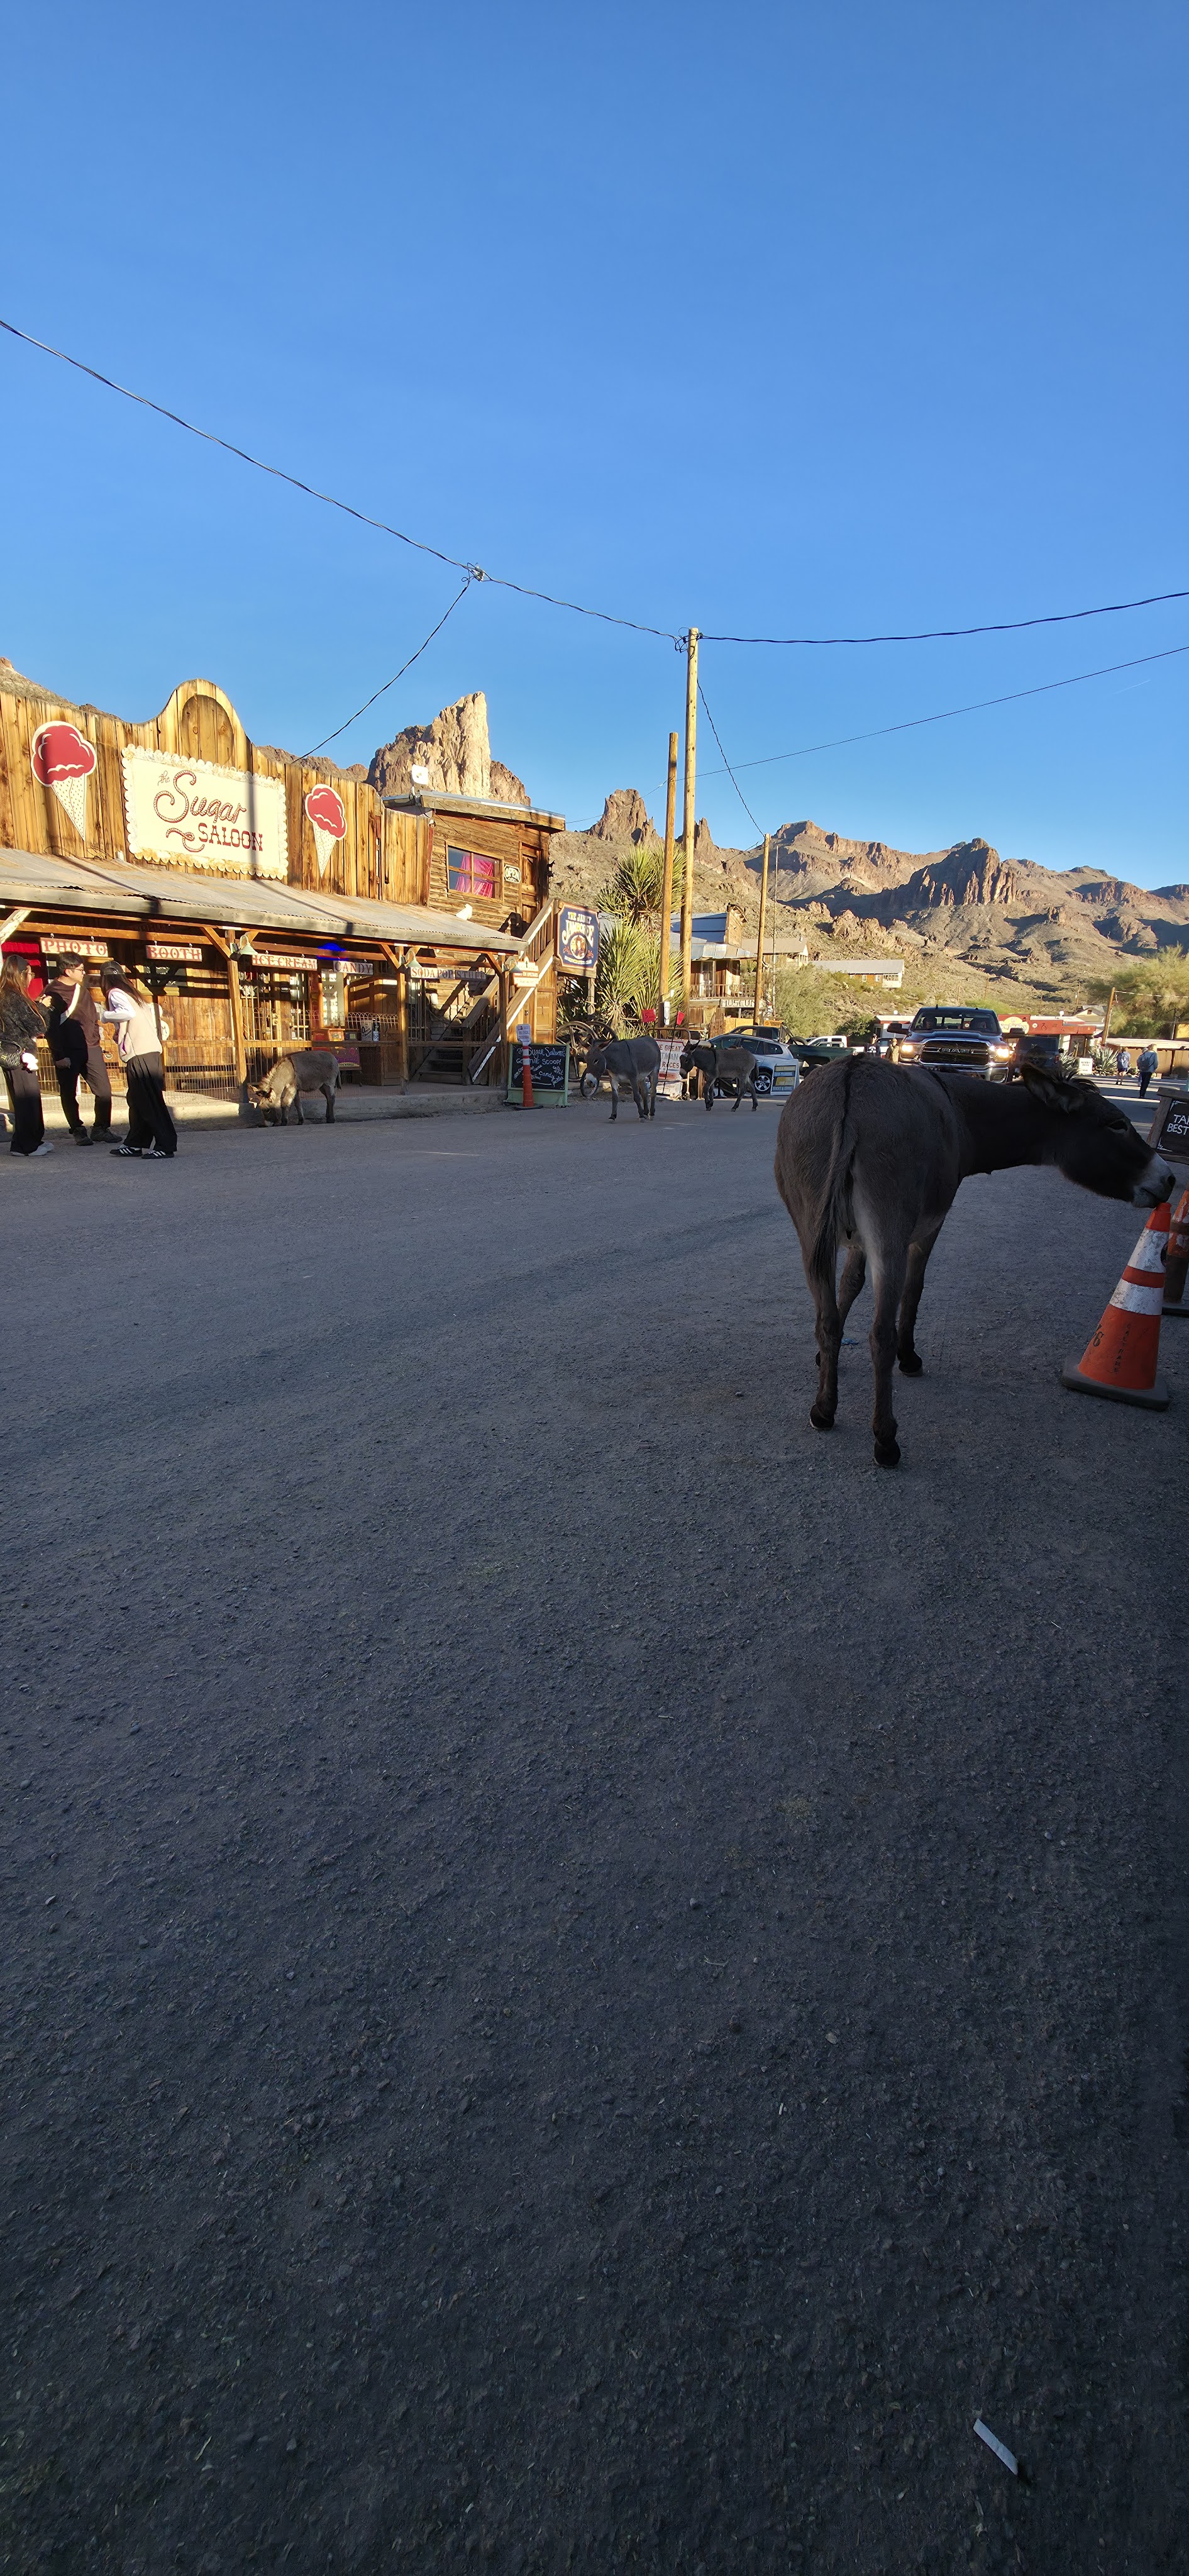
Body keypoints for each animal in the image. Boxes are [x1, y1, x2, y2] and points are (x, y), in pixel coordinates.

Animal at [246, 1049, 341, 1126]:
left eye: (267, 1110)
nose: (267, 1125)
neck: (285, 1072)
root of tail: (335, 1059)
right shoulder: (296, 1089)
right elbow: (298, 1104)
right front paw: (301, 1121)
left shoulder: (292, 1088)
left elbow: (285, 1103)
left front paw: (284, 1122)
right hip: (322, 1086)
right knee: (328, 1098)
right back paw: (328, 1117)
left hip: (329, 1083)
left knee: (331, 1099)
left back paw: (331, 1120)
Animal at [581, 1035, 661, 1121]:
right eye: (586, 1060)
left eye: (596, 1061)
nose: (589, 1082)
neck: (617, 1060)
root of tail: (650, 1038)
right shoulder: (613, 1080)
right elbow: (615, 1098)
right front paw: (613, 1116)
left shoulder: (633, 1079)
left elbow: (637, 1097)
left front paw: (641, 1116)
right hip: (641, 1077)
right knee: (644, 1093)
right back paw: (646, 1113)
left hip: (654, 1071)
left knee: (653, 1092)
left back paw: (651, 1114)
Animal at [679, 1038, 760, 1111]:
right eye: (680, 1058)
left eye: (686, 1060)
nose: (681, 1074)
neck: (708, 1060)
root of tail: (753, 1057)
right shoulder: (709, 1077)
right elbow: (711, 1090)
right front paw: (710, 1104)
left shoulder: (713, 1077)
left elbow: (706, 1088)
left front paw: (708, 1104)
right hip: (746, 1076)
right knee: (752, 1087)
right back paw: (754, 1106)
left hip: (743, 1076)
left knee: (743, 1090)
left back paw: (735, 1107)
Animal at [775, 1056, 1175, 1469]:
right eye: (1117, 1125)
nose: (1170, 1180)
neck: (960, 1113)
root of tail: (849, 1079)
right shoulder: (926, 1228)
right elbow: (915, 1290)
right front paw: (909, 1358)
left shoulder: (857, 1241)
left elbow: (849, 1288)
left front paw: (827, 1359)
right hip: (888, 1229)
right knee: (880, 1334)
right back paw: (885, 1439)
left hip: (811, 1228)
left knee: (825, 1320)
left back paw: (824, 1410)